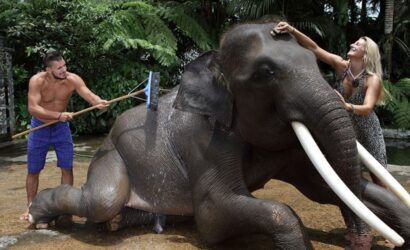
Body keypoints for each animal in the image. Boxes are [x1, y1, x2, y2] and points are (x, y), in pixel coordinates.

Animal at [27, 22, 408, 250]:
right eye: (266, 73)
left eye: (316, 63)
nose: (358, 241)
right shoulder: (205, 140)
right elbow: (214, 212)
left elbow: (321, 187)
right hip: (112, 153)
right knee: (101, 199)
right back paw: (37, 216)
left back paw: (123, 221)